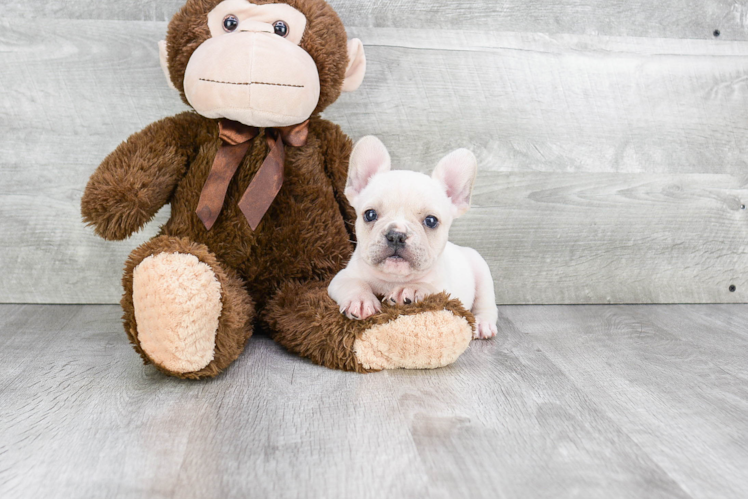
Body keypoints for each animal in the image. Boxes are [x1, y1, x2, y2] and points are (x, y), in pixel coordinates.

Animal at [328, 135, 496, 338]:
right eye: (370, 214)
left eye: (431, 221)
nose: (396, 235)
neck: (394, 279)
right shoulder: (341, 277)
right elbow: (354, 283)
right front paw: (360, 300)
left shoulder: (447, 291)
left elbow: (431, 287)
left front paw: (412, 289)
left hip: (482, 271)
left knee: (486, 302)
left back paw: (483, 323)